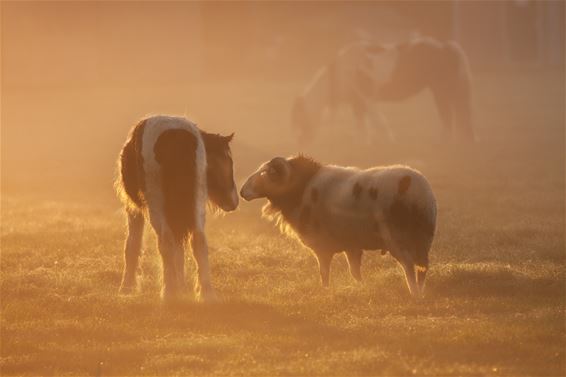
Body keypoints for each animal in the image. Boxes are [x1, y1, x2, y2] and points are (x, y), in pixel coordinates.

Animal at [115, 114, 240, 300]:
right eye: (228, 160)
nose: (234, 201)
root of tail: (176, 135)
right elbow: (179, 249)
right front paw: (182, 287)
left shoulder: (134, 209)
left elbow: (133, 245)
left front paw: (127, 288)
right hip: (195, 205)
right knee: (198, 241)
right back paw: (206, 293)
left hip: (158, 205)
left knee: (166, 240)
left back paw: (169, 292)